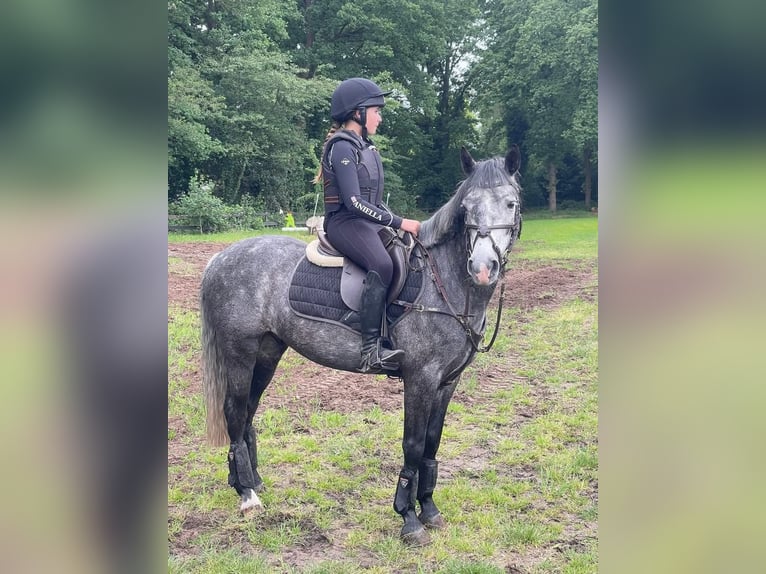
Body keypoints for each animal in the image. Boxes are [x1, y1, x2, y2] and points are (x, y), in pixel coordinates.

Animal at [201, 145, 523, 546]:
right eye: (467, 207)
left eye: (510, 203)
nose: (482, 267)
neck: (443, 283)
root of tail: (220, 258)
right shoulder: (420, 379)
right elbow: (413, 444)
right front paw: (408, 518)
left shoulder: (448, 382)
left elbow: (432, 443)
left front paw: (429, 509)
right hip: (239, 352)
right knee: (233, 411)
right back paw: (246, 496)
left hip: (268, 352)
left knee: (247, 412)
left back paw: (250, 482)